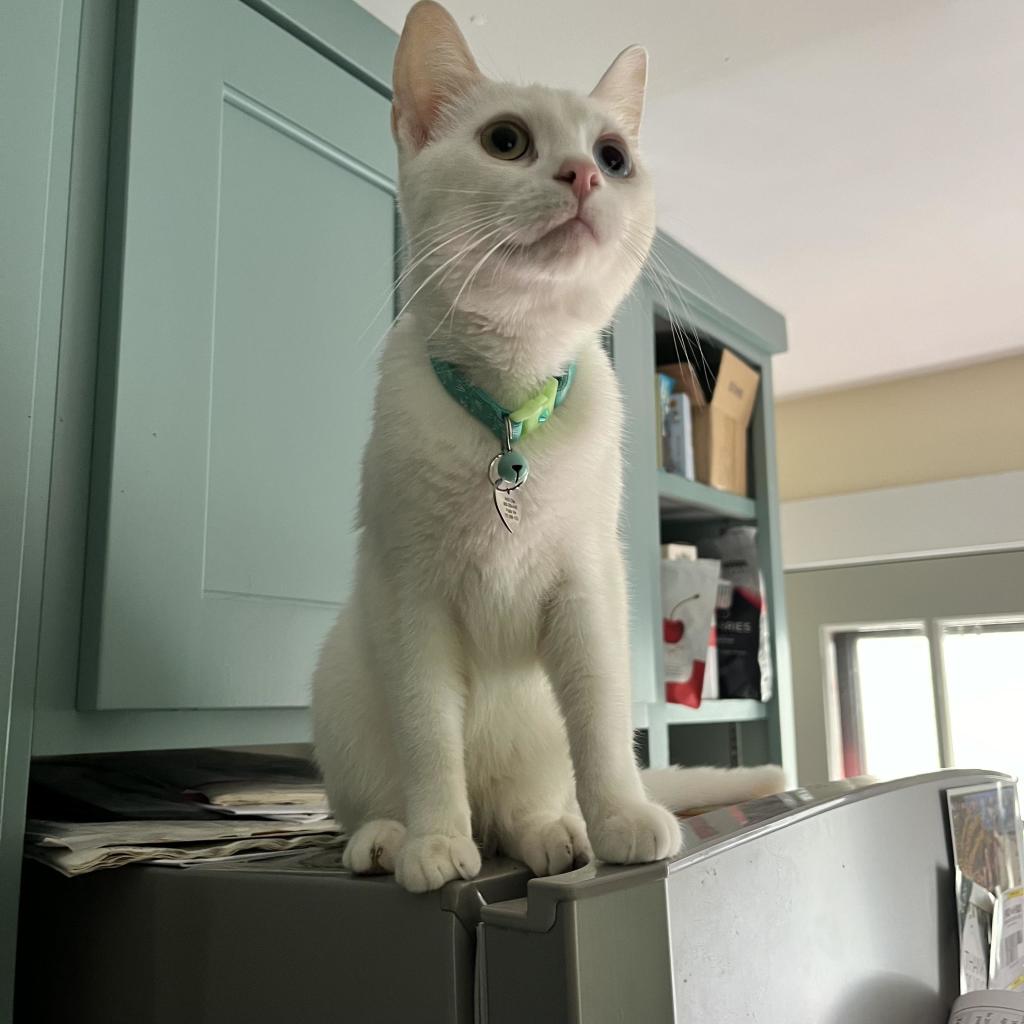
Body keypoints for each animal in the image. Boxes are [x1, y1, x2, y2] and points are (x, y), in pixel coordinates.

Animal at [313, 0, 782, 892]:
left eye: (614, 155)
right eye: (507, 141)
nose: (584, 176)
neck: (510, 405)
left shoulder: (587, 589)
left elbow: (601, 726)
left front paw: (623, 818)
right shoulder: (412, 600)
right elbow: (431, 739)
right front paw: (436, 841)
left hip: (532, 733)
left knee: (530, 804)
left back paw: (557, 833)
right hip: (345, 682)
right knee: (394, 796)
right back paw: (393, 838)